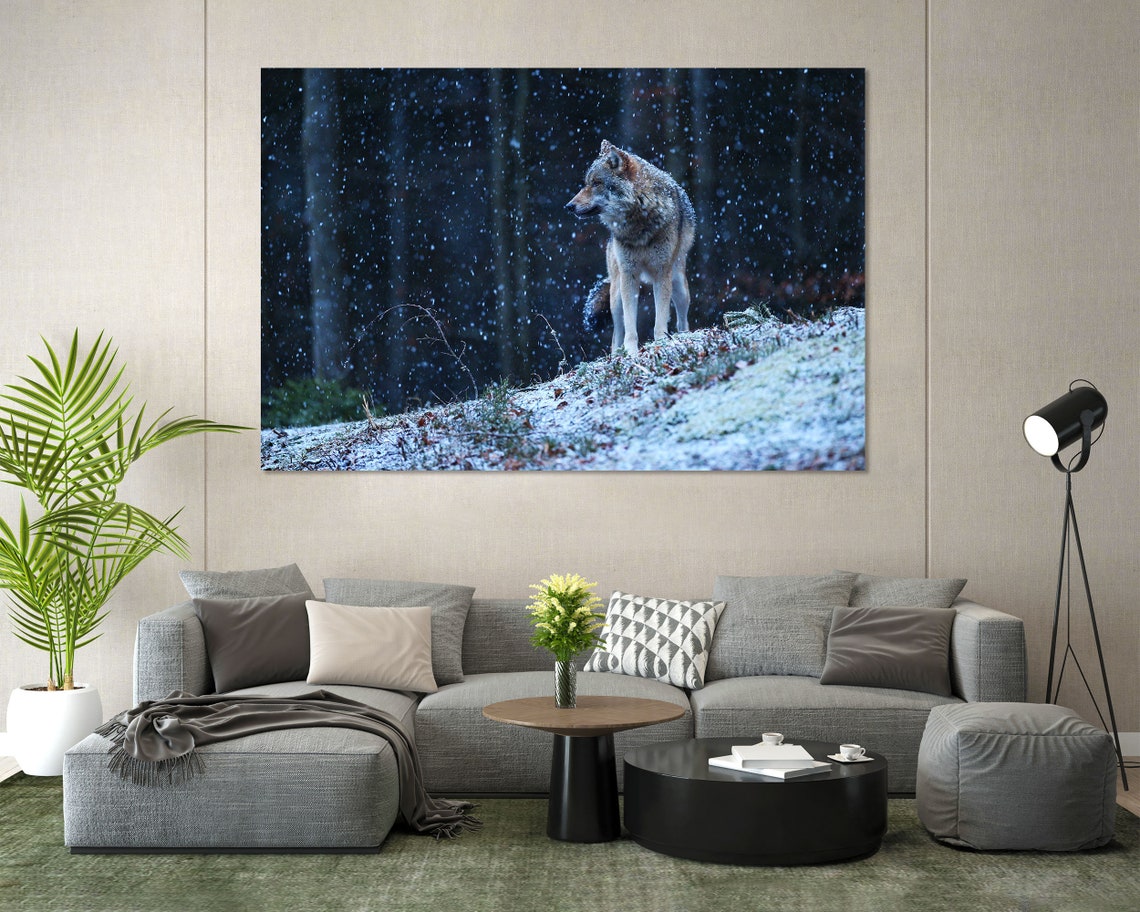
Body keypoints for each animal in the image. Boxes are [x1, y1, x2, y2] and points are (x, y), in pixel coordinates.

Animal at [566, 140, 696, 354]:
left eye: (596, 183)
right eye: (587, 183)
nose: (568, 206)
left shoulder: (662, 274)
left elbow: (660, 319)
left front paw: (661, 342)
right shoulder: (629, 275)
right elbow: (629, 324)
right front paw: (632, 352)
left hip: (679, 286)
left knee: (682, 320)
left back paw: (683, 337)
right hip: (616, 294)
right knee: (616, 333)